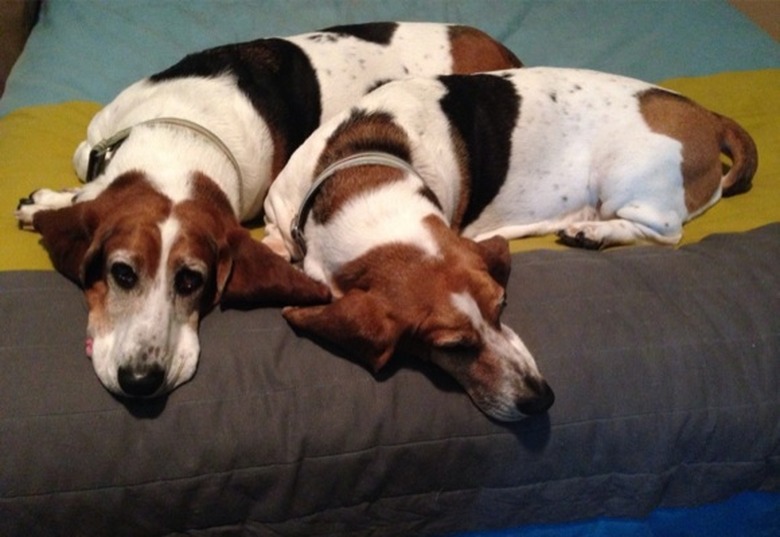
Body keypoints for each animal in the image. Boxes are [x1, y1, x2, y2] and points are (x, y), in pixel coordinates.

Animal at [14, 23, 522, 399]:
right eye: (121, 274)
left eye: (191, 281)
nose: (142, 382)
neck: (183, 136)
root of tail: (505, 52)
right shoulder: (93, 150)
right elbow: (87, 193)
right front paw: (52, 202)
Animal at [262, 67, 757, 420]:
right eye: (453, 347)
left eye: (502, 307)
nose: (541, 401)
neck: (364, 172)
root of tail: (707, 116)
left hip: (626, 180)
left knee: (664, 230)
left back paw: (592, 232)